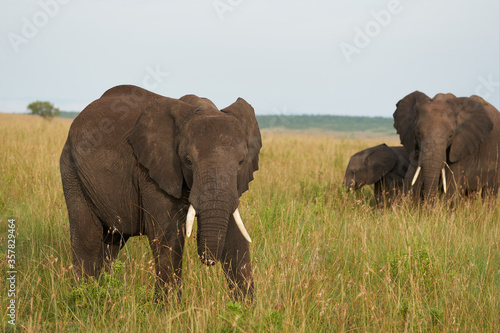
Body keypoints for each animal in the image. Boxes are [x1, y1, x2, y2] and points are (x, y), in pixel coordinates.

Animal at [59, 84, 262, 300]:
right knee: (87, 240)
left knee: (111, 244)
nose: (207, 260)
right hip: (72, 172)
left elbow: (235, 236)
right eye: (187, 161)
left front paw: (245, 307)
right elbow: (168, 236)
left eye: (241, 162)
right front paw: (168, 307)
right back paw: (84, 298)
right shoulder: (150, 171)